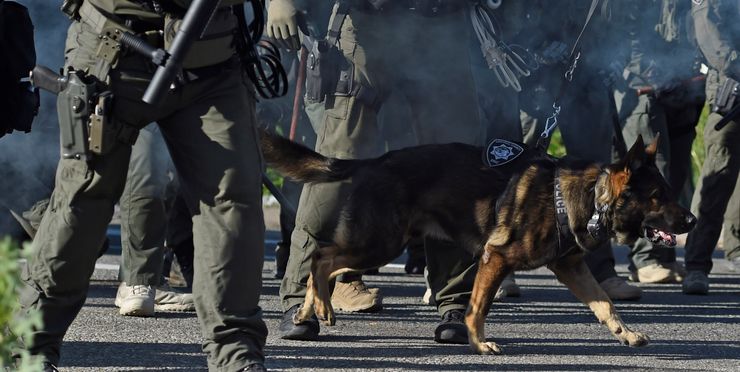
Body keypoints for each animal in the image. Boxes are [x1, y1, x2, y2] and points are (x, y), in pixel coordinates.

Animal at [260, 132, 692, 354]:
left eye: (670, 193)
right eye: (658, 196)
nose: (692, 220)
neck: (590, 197)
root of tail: (374, 162)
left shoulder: (570, 267)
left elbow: (604, 305)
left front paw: (626, 333)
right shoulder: (495, 258)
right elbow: (478, 307)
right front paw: (480, 343)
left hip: (379, 242)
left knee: (326, 260)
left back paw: (314, 309)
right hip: (379, 242)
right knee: (321, 256)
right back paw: (315, 308)